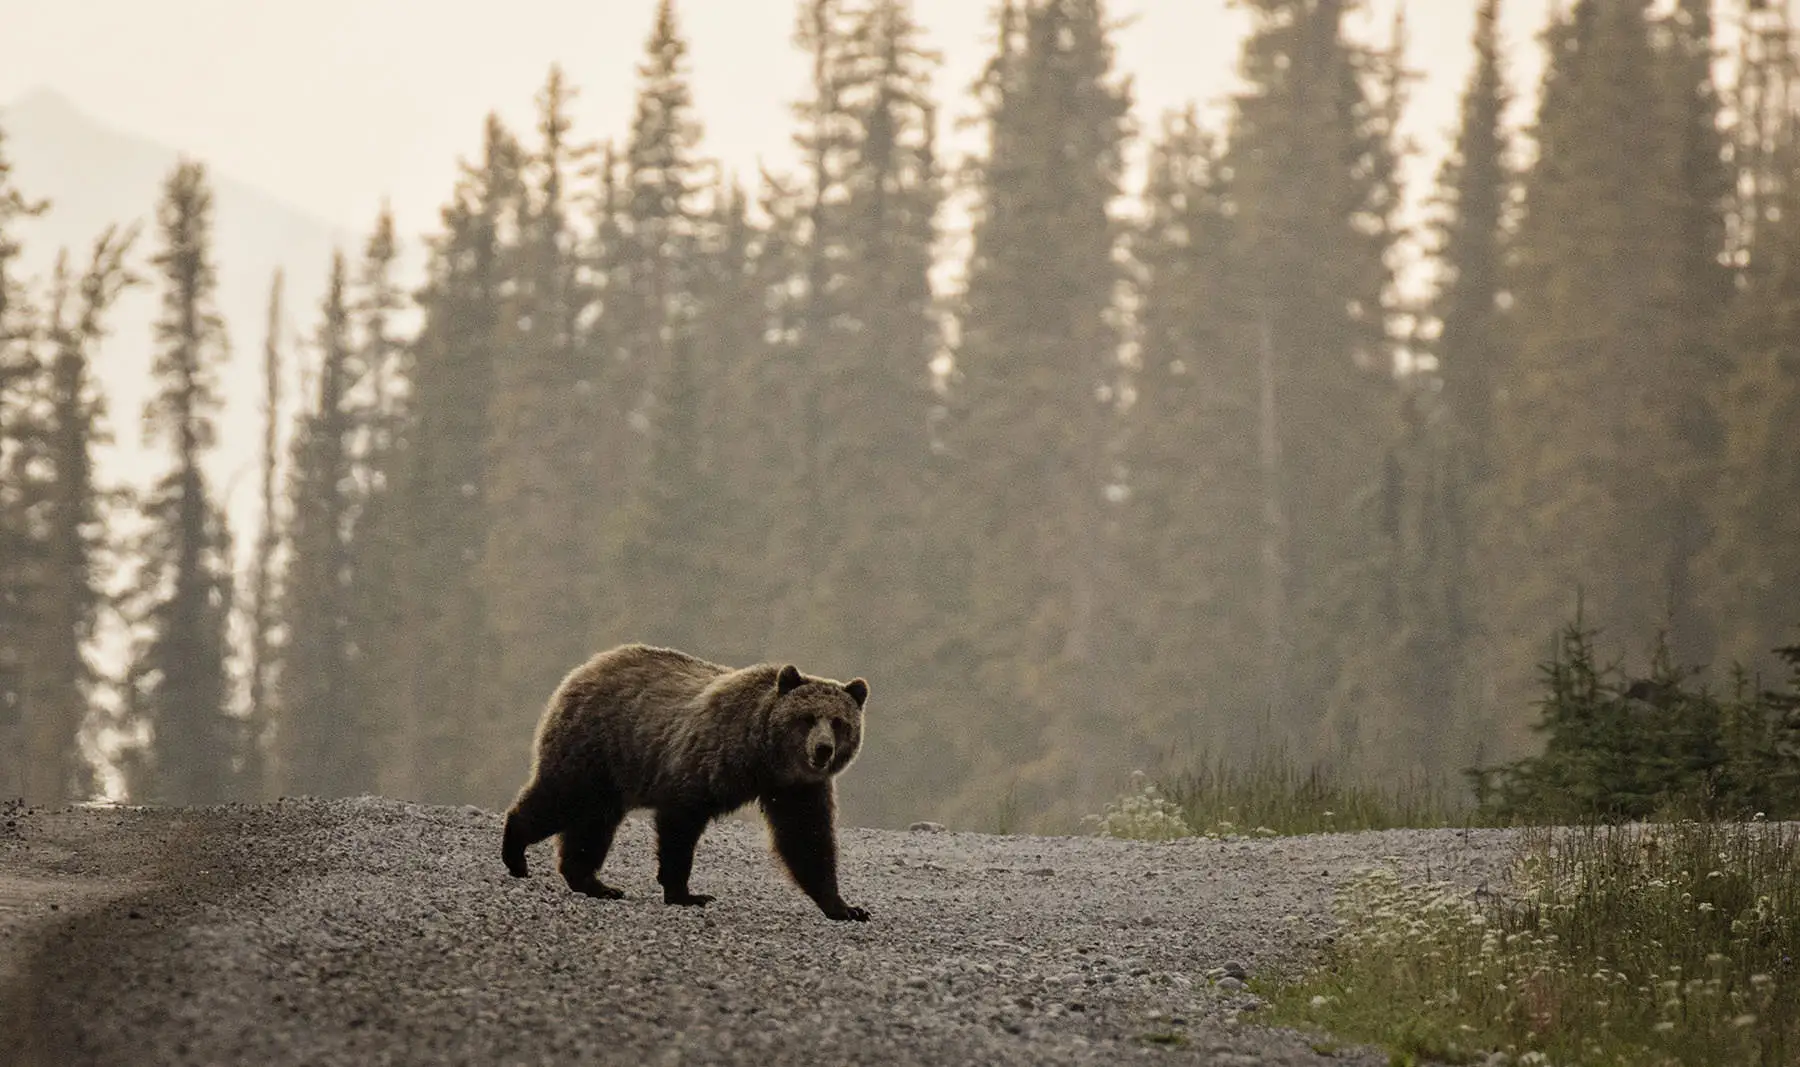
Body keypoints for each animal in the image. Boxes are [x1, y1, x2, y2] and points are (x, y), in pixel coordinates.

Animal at [504, 644, 874, 921]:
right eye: (807, 718)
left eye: (839, 722)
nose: (823, 749)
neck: (763, 758)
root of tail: (586, 667)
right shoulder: (704, 763)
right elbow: (680, 824)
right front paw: (686, 893)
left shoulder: (796, 789)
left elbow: (807, 838)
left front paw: (845, 907)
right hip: (597, 745)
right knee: (563, 796)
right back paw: (516, 854)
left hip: (610, 773)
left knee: (593, 824)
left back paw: (594, 883)